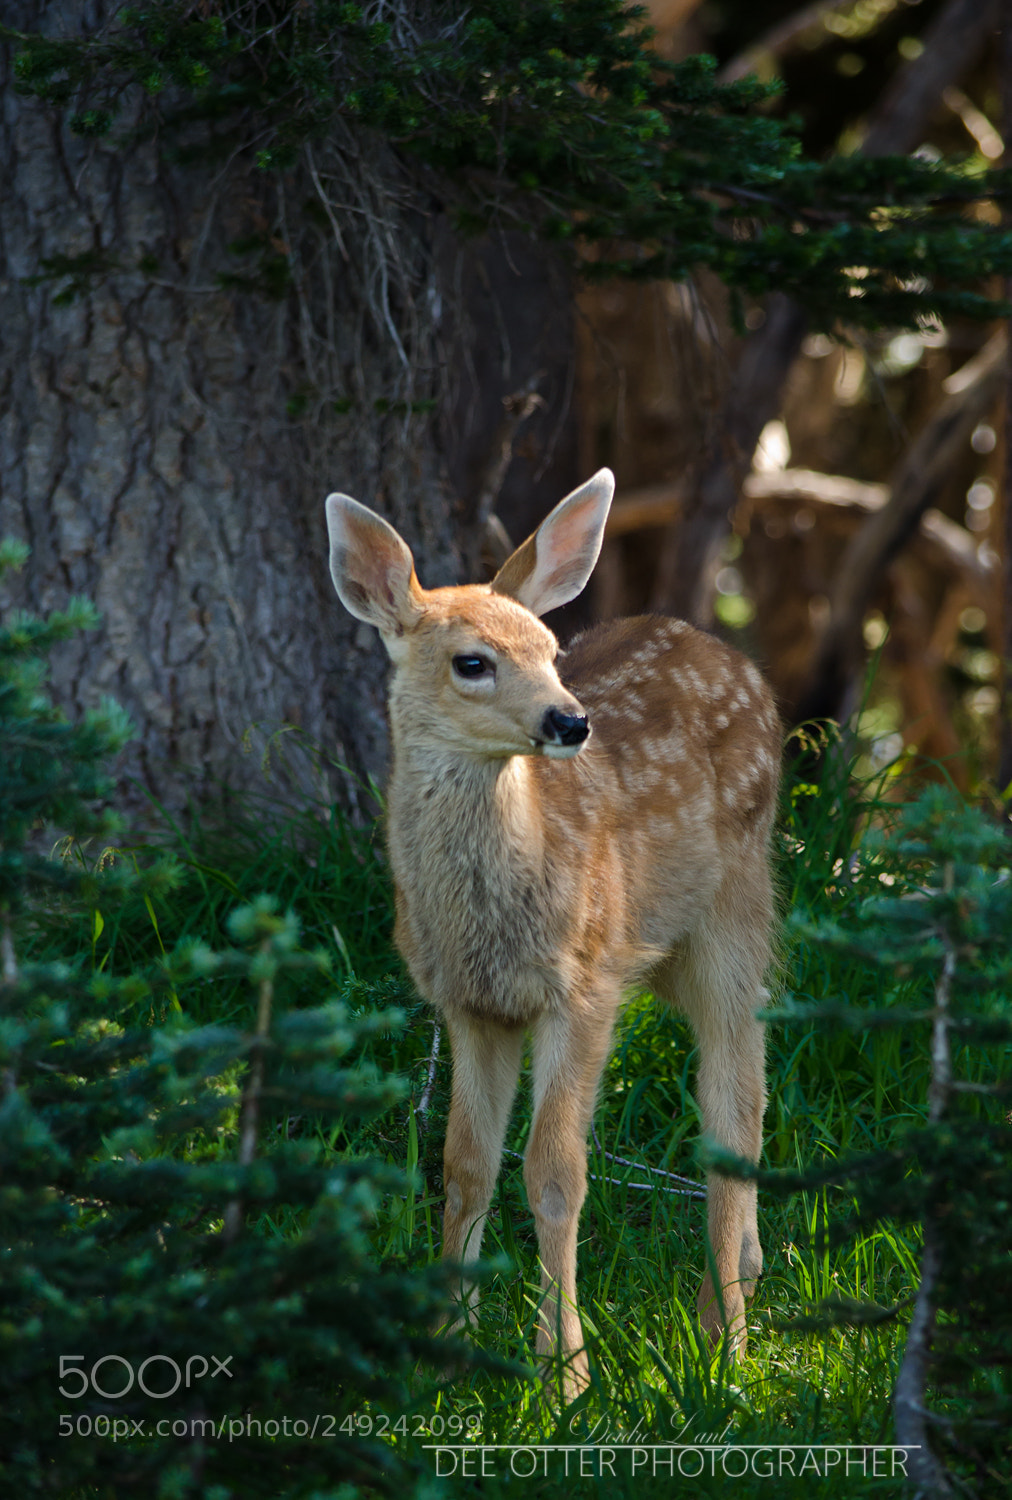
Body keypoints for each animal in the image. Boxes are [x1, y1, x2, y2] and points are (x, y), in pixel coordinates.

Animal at [323, 468, 779, 1400]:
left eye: (551, 650)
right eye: (473, 661)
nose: (570, 721)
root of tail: (736, 658)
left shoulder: (585, 983)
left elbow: (555, 1174)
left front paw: (564, 1374)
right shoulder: (470, 1005)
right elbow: (464, 1165)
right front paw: (449, 1343)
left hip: (736, 908)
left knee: (735, 1108)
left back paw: (725, 1344)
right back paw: (744, 1282)